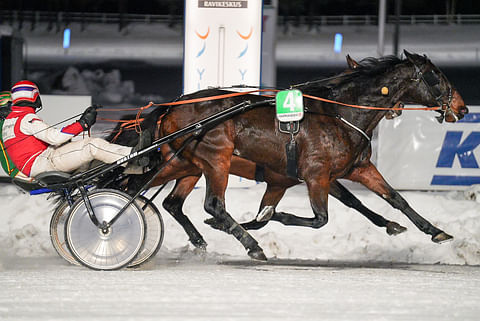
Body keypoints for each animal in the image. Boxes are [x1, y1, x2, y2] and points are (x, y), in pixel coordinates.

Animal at [124, 50, 468, 260]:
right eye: (436, 76)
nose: (462, 108)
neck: (340, 112)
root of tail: (173, 106)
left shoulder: (352, 169)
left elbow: (394, 199)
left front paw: (431, 231)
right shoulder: (316, 175)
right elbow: (319, 219)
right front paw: (266, 219)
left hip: (184, 163)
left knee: (158, 196)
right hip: (215, 159)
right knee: (213, 204)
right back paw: (251, 246)